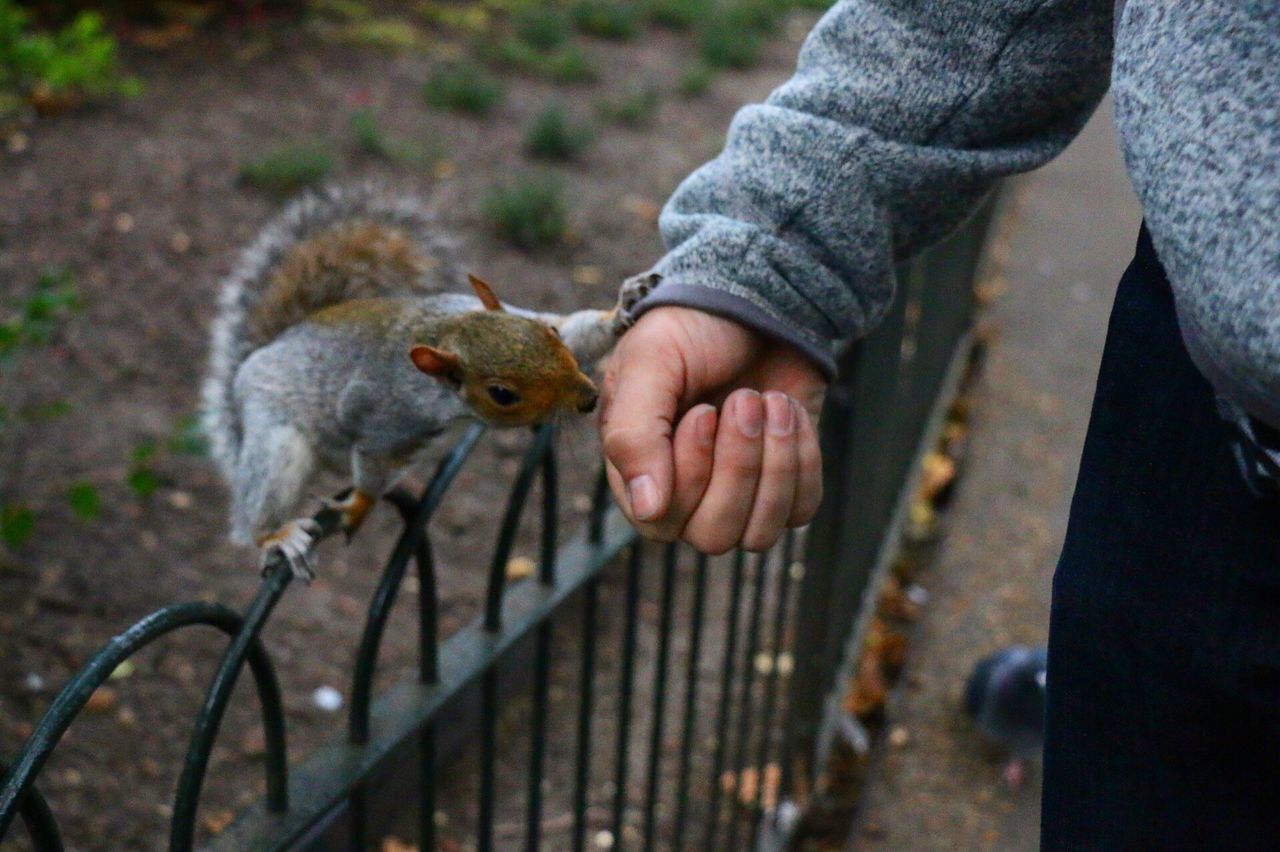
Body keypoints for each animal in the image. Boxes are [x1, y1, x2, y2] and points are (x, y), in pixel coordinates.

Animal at [206, 181, 660, 573]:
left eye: (547, 332)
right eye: (501, 394)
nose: (588, 397)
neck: (446, 332)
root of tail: (259, 356)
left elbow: (580, 335)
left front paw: (621, 309)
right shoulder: (383, 421)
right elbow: (371, 468)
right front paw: (359, 506)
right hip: (277, 437)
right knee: (259, 502)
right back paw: (275, 535)